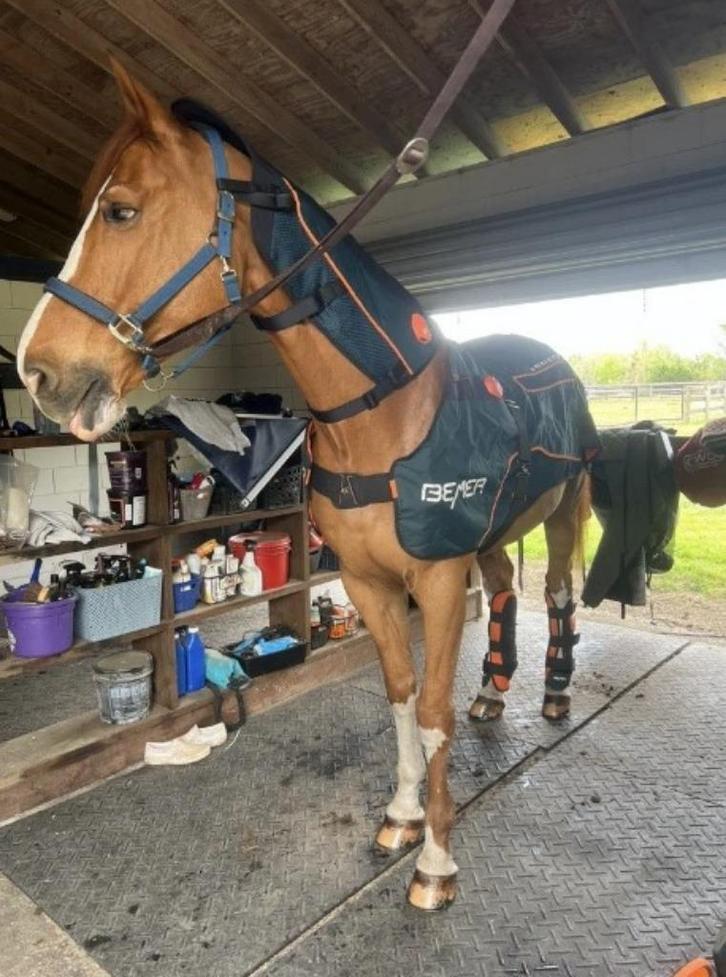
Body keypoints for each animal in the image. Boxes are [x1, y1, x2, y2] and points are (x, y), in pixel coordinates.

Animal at [18, 63, 594, 912]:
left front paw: (436, 861)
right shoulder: (368, 579)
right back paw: (495, 693)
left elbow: (431, 709)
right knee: (504, 593)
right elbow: (398, 692)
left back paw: (552, 693)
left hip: (563, 517)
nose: (38, 371)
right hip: (492, 537)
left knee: (556, 593)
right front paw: (401, 816)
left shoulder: (436, 578)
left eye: (121, 210)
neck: (384, 415)